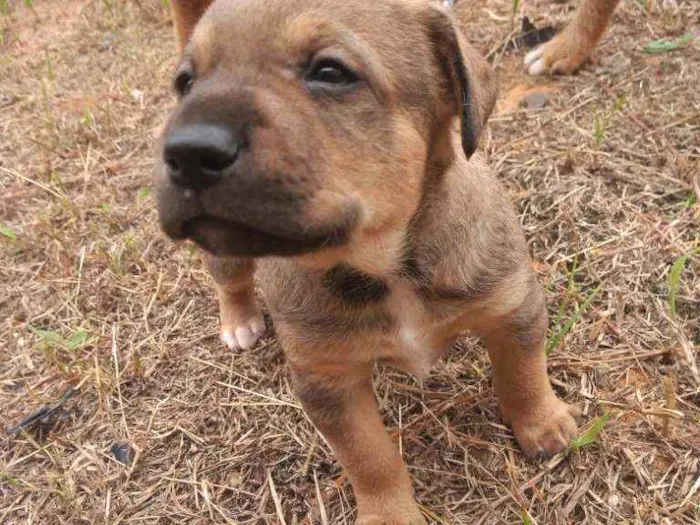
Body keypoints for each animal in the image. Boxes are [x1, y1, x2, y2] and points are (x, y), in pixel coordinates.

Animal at [156, 2, 584, 520]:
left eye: (330, 72)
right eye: (185, 83)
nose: (187, 152)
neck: (385, 262)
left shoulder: (513, 308)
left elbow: (523, 374)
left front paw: (543, 424)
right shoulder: (329, 381)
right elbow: (369, 457)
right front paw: (389, 513)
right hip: (225, 252)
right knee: (232, 281)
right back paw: (239, 322)